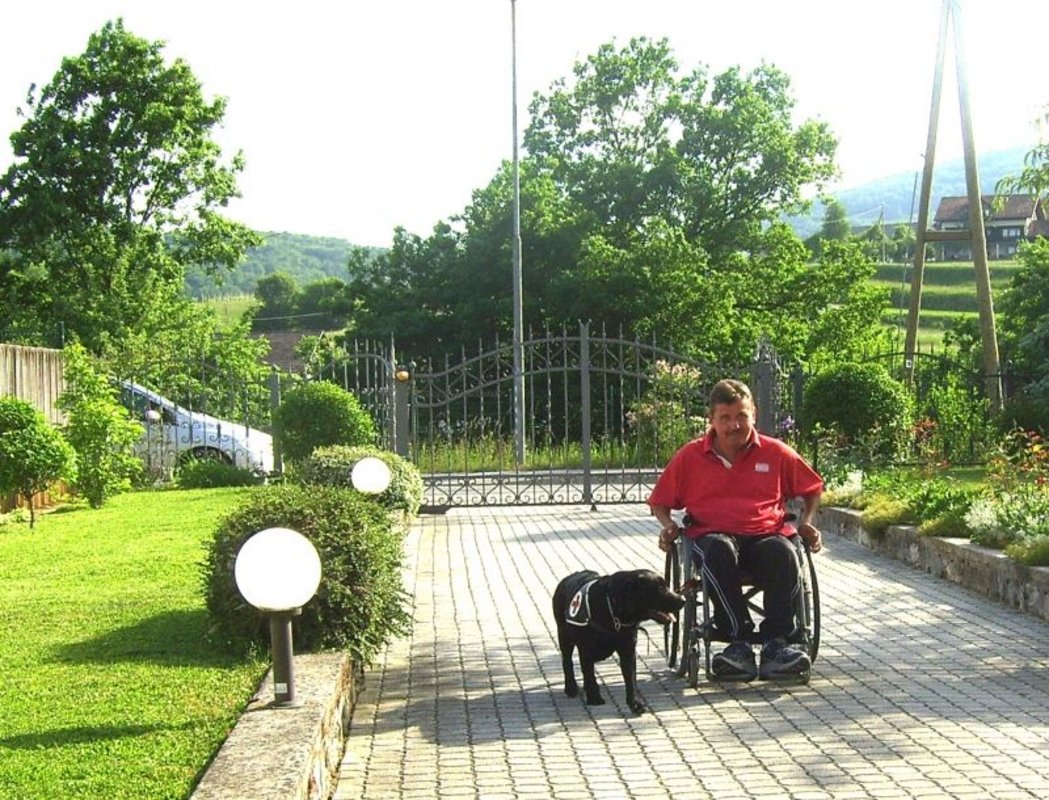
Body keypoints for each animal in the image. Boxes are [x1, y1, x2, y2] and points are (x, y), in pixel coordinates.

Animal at [553, 569, 684, 715]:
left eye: (666, 585)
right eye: (658, 588)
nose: (683, 600)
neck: (613, 610)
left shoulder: (628, 651)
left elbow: (630, 679)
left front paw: (634, 703)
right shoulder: (586, 650)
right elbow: (589, 674)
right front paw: (594, 697)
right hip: (564, 636)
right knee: (567, 662)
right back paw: (571, 687)